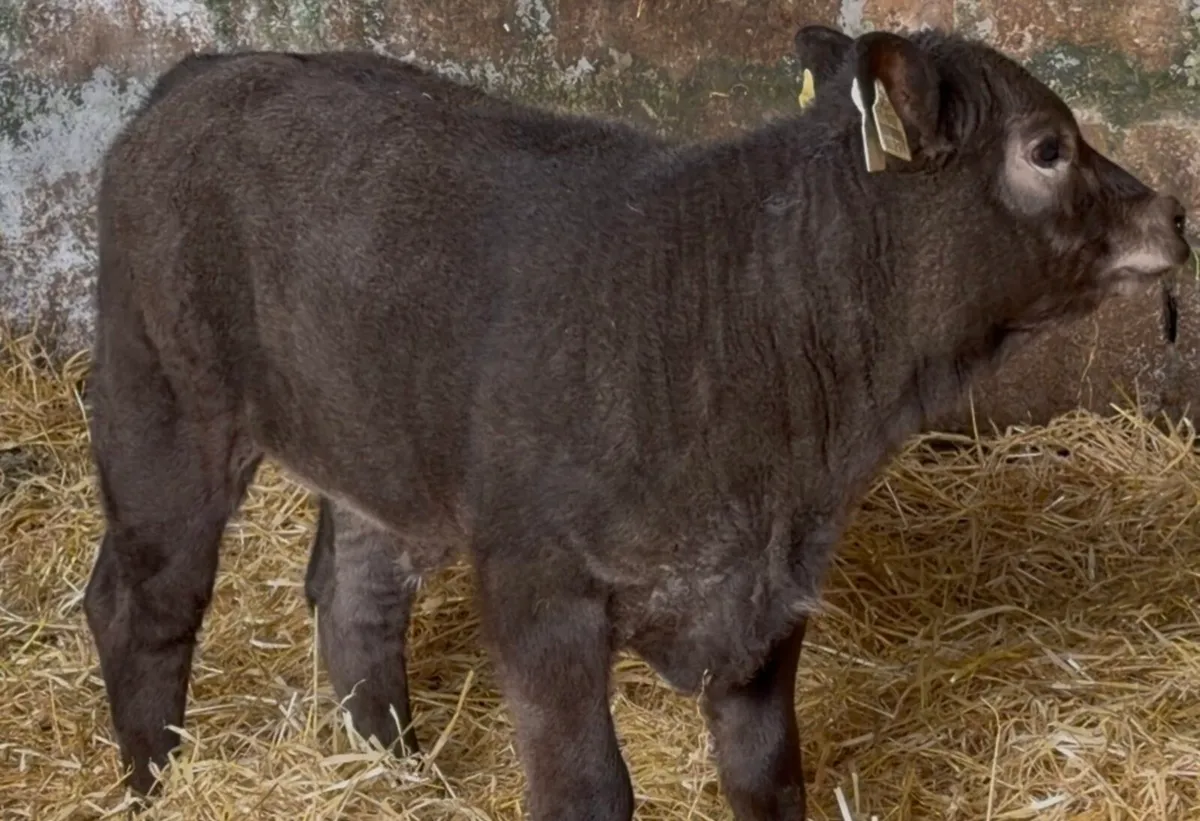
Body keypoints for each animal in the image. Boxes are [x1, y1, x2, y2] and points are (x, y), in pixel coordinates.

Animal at [82, 21, 1189, 820]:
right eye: (1047, 147)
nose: (1172, 212)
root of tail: (205, 70)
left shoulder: (764, 596)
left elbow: (766, 773)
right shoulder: (537, 588)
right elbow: (589, 791)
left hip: (374, 431)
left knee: (355, 592)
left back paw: (394, 773)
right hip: (161, 397)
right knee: (143, 603)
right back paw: (154, 784)